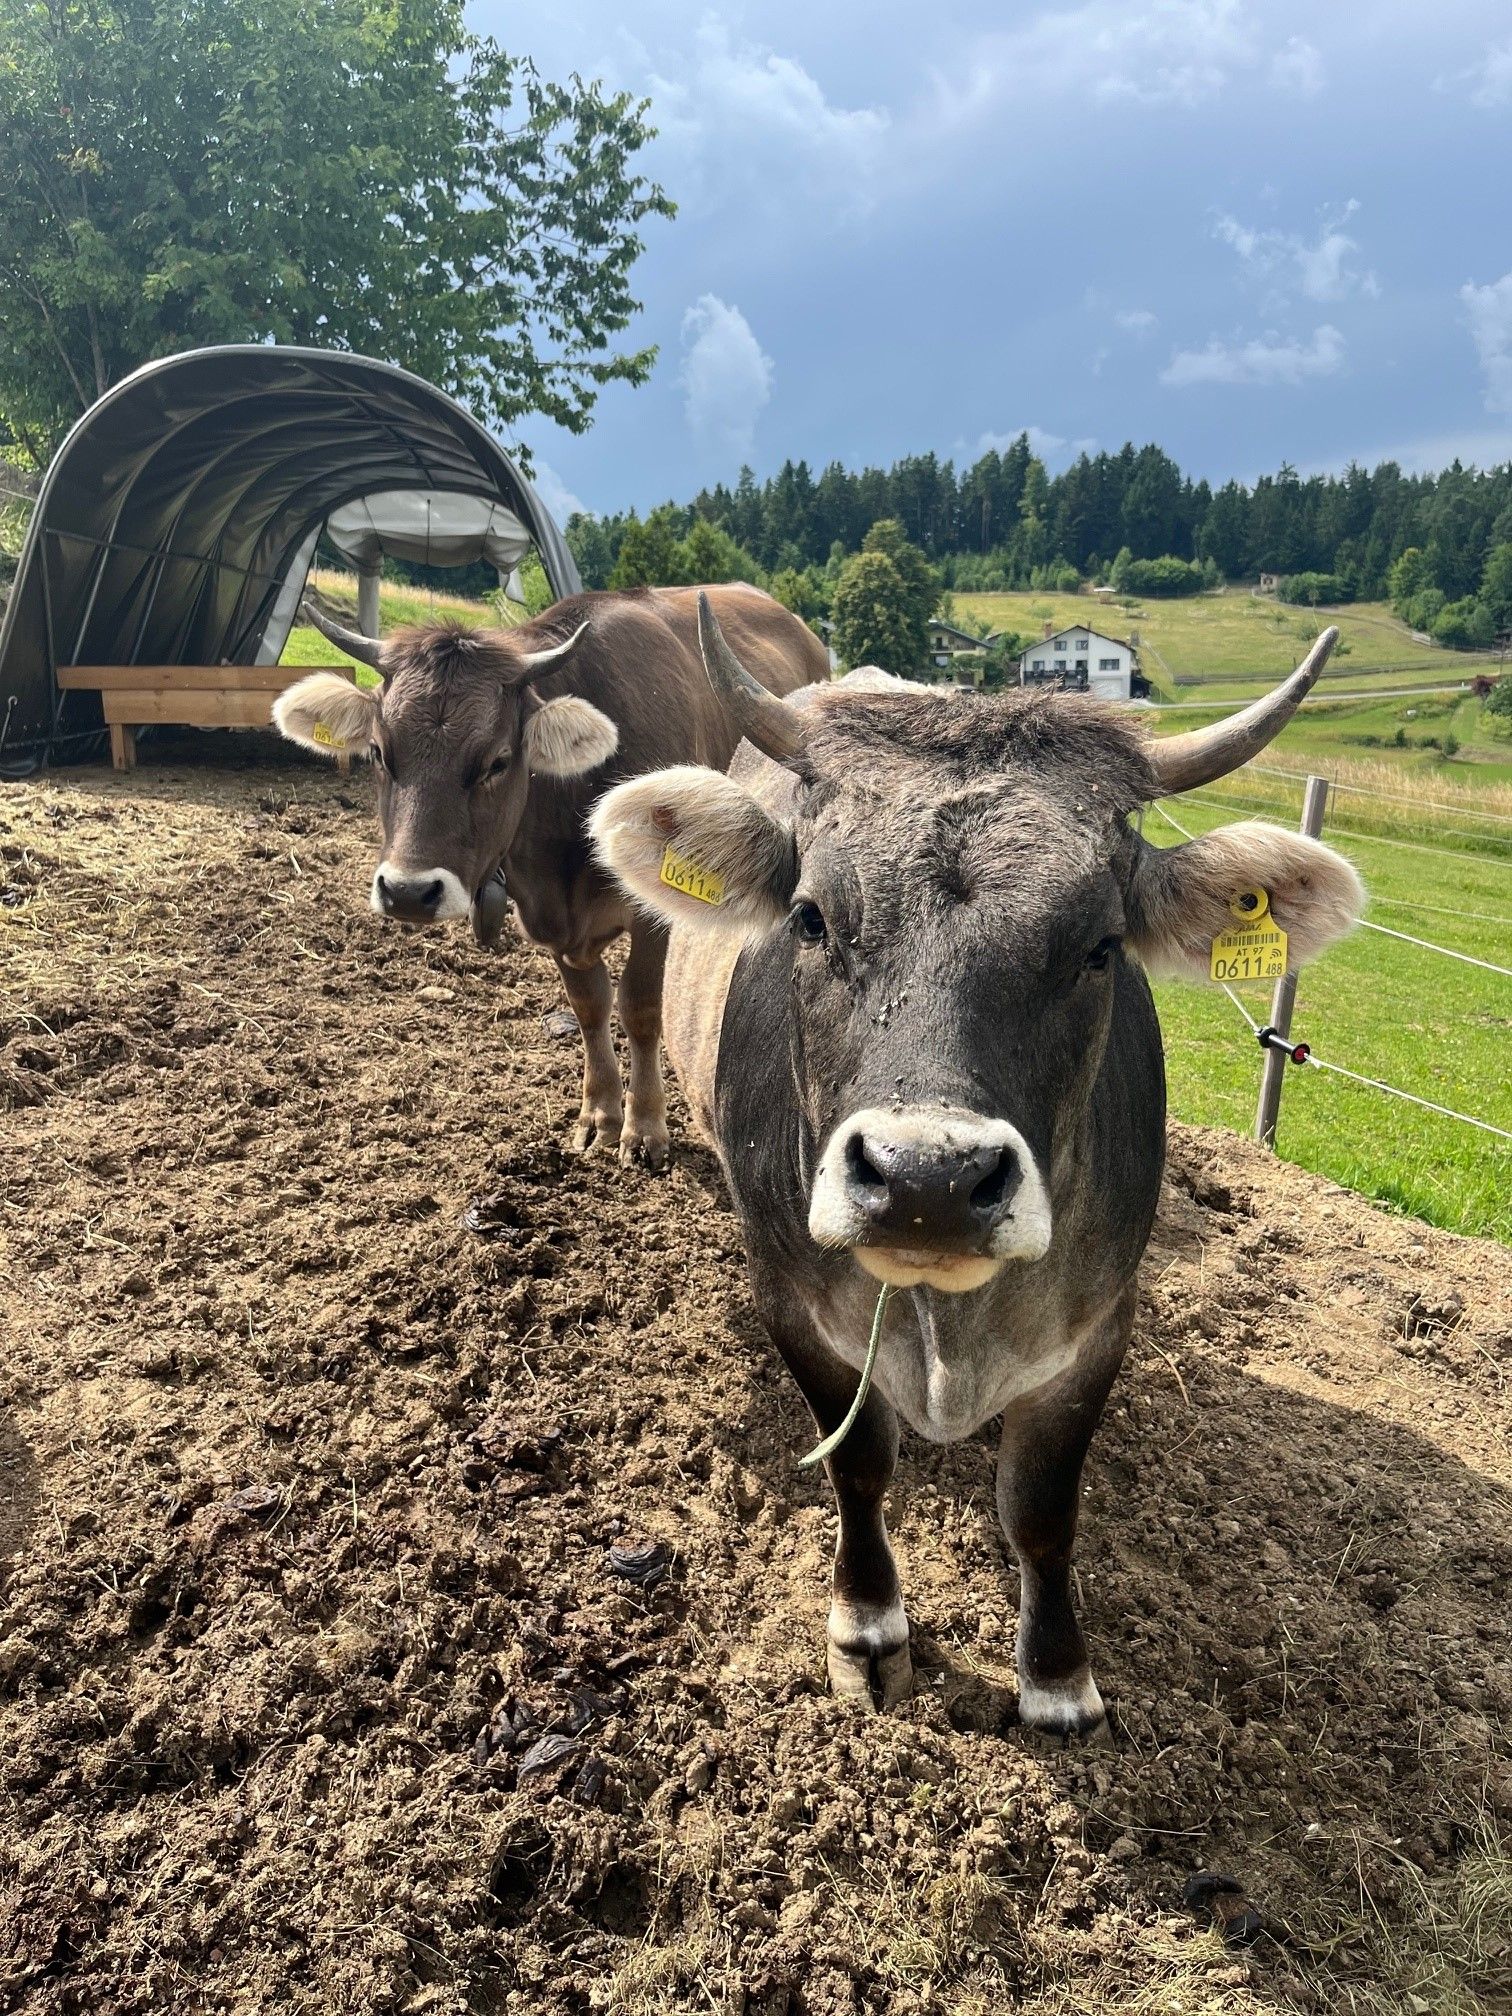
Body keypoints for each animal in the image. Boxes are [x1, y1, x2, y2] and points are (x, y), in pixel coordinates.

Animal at [272, 584, 827, 1168]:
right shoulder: (555, 924)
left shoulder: (655, 912)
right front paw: (600, 1115)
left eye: (496, 761)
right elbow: (590, 1006)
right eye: (380, 752)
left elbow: (639, 1007)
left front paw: (644, 1127)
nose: (408, 892)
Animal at [589, 597, 1363, 1736]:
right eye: (811, 916)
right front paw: (868, 1632)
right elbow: (859, 1466)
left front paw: (1057, 1679)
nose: (926, 1180)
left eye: (1100, 946)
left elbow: (1040, 1511)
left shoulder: (1095, 1330)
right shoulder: (794, 1302)